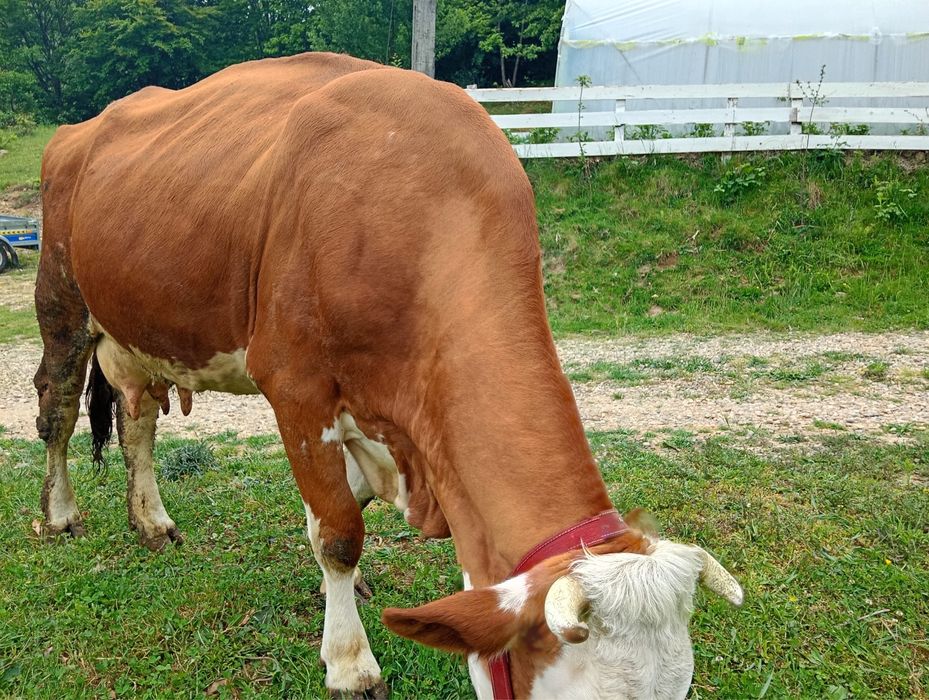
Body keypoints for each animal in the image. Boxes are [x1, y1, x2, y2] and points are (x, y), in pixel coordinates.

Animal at [34, 52, 742, 698]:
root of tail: (82, 128)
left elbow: (337, 509)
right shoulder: (296, 387)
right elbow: (340, 532)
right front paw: (350, 663)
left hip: (137, 331)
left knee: (138, 421)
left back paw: (151, 521)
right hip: (61, 299)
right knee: (58, 410)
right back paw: (61, 514)